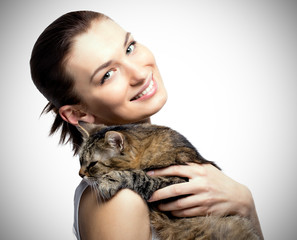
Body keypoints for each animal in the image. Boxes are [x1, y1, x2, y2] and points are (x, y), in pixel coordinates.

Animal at [77, 123, 260, 239]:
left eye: (92, 164)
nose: (80, 174)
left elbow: (140, 176)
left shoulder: (183, 183)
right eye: (80, 161)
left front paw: (111, 180)